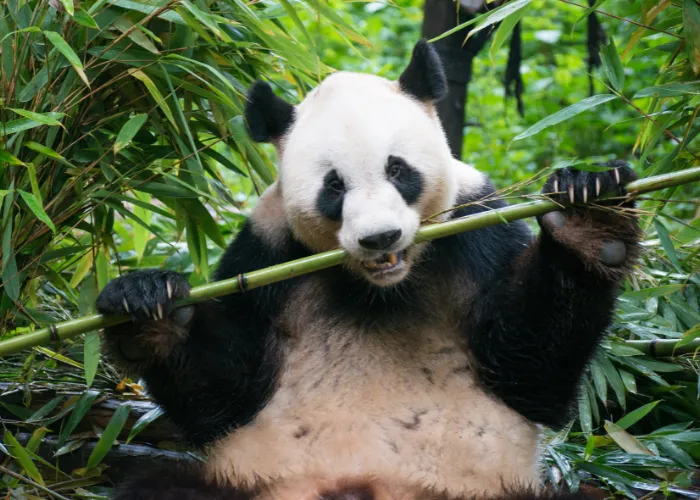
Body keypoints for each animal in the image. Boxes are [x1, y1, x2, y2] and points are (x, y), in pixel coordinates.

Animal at [95, 40, 644, 500]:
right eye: (334, 186)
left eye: (397, 169)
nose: (380, 237)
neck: (380, 288)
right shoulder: (265, 254)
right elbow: (226, 393)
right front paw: (146, 305)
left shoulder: (478, 226)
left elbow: (526, 369)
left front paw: (591, 214)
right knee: (155, 485)